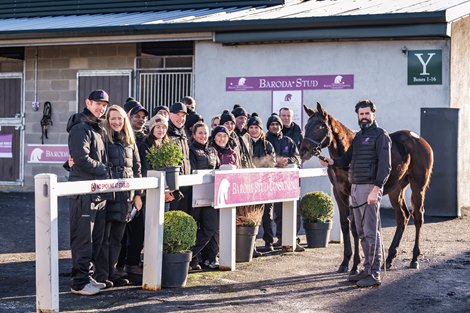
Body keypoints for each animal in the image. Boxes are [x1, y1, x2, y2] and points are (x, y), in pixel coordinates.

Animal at [302, 103, 434, 272]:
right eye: (306, 125)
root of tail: (419, 139)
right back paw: (389, 258)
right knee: (403, 217)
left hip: (418, 186)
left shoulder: (354, 193)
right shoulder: (339, 192)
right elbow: (345, 224)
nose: (303, 150)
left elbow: (355, 227)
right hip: (396, 189)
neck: (346, 153)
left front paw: (356, 264)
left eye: (319, 126)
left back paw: (414, 258)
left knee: (418, 217)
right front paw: (345, 262)